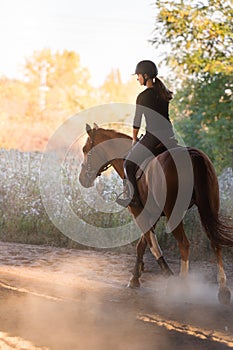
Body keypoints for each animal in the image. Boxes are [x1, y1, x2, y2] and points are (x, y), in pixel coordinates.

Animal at [79, 123, 232, 304]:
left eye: (85, 149)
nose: (82, 179)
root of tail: (192, 157)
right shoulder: (153, 214)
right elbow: (142, 244)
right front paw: (135, 278)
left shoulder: (138, 211)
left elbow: (152, 245)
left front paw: (166, 276)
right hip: (209, 208)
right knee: (215, 243)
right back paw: (223, 290)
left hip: (174, 212)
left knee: (184, 244)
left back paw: (183, 288)